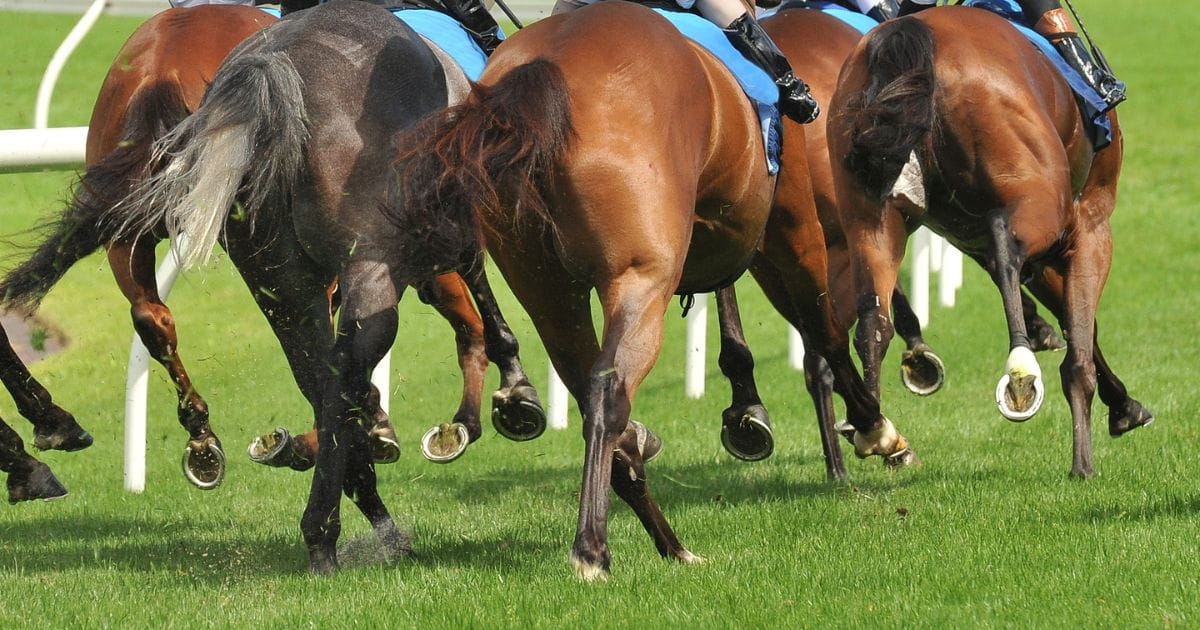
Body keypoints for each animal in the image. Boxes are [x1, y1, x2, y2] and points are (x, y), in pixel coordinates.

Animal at [395, 0, 912, 579]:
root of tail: (545, 68)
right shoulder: (790, 231)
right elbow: (825, 334)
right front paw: (874, 428)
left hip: (546, 290)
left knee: (592, 396)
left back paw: (669, 541)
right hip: (644, 277)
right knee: (609, 389)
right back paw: (593, 547)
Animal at [827, 6, 1152, 478]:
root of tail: (911, 34)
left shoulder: (985, 242)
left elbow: (1073, 319)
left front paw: (1122, 405)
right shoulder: (1090, 223)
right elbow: (1080, 330)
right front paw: (1091, 451)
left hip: (872, 220)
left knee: (873, 320)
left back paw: (874, 427)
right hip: (1040, 205)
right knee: (1006, 249)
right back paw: (1022, 373)